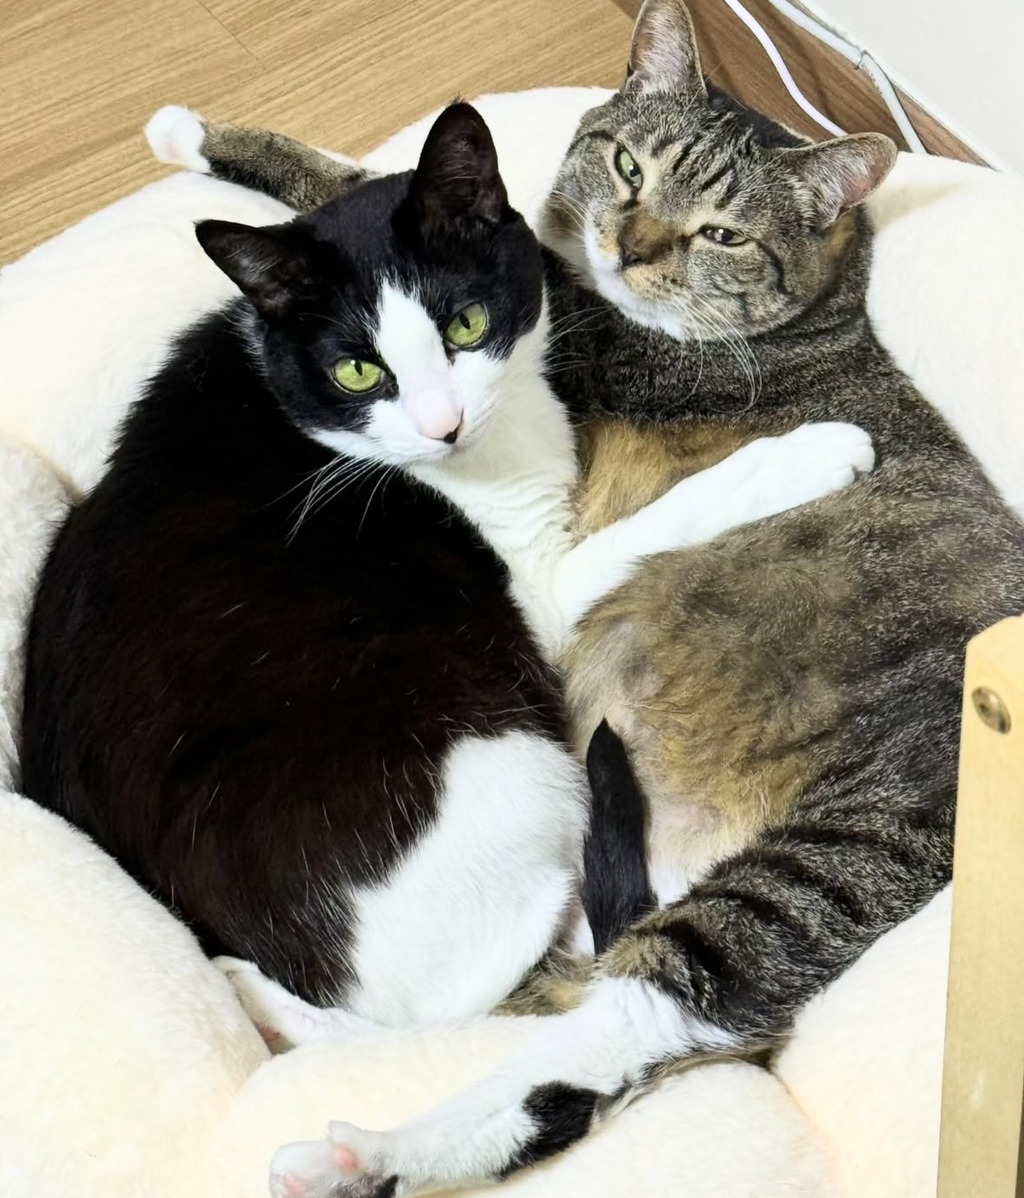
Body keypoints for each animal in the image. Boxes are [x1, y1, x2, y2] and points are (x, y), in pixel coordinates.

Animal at [17, 101, 867, 1035]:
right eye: (358, 368)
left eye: (465, 326)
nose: (442, 427)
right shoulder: (542, 587)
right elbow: (654, 521)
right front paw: (813, 452)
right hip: (518, 766)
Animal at [154, 3, 1024, 1195]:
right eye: (628, 167)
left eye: (722, 235)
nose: (628, 245)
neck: (827, 301)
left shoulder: (546, 322)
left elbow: (366, 186)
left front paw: (201, 135)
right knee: (520, 1009)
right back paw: (271, 1009)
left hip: (822, 870)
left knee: (585, 1048)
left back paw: (362, 1151)